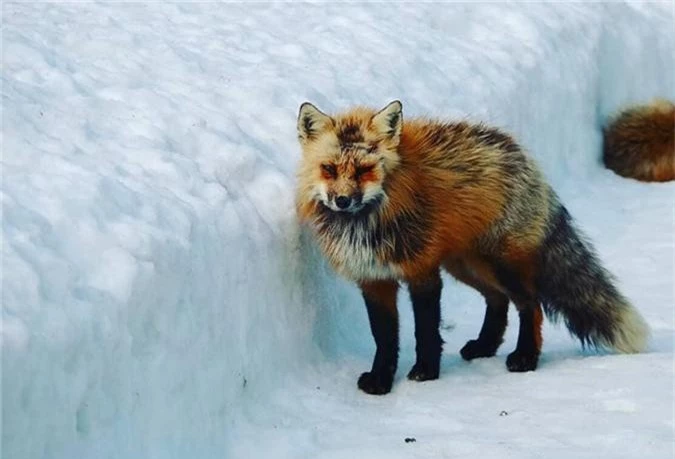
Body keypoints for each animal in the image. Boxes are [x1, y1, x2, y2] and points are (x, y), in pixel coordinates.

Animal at [294, 100, 648, 396]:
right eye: (329, 169)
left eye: (365, 170)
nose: (342, 200)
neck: (367, 223)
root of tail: (523, 155)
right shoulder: (373, 279)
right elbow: (384, 338)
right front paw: (382, 379)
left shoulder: (423, 272)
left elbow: (425, 330)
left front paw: (426, 371)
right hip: (467, 266)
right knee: (499, 301)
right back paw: (485, 346)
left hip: (499, 265)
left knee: (529, 303)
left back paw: (525, 356)